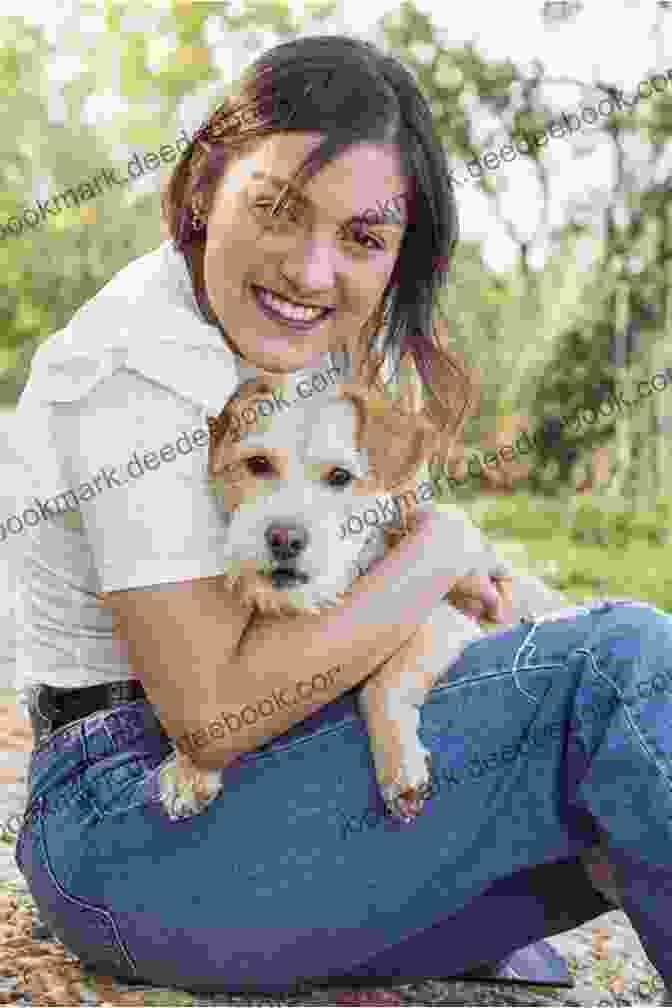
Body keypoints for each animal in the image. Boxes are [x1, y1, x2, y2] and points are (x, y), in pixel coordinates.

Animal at [160, 374, 564, 822]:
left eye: (340, 476)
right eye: (258, 464)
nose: (284, 539)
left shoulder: (441, 619)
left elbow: (382, 684)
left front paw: (398, 767)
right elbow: (202, 726)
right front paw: (187, 766)